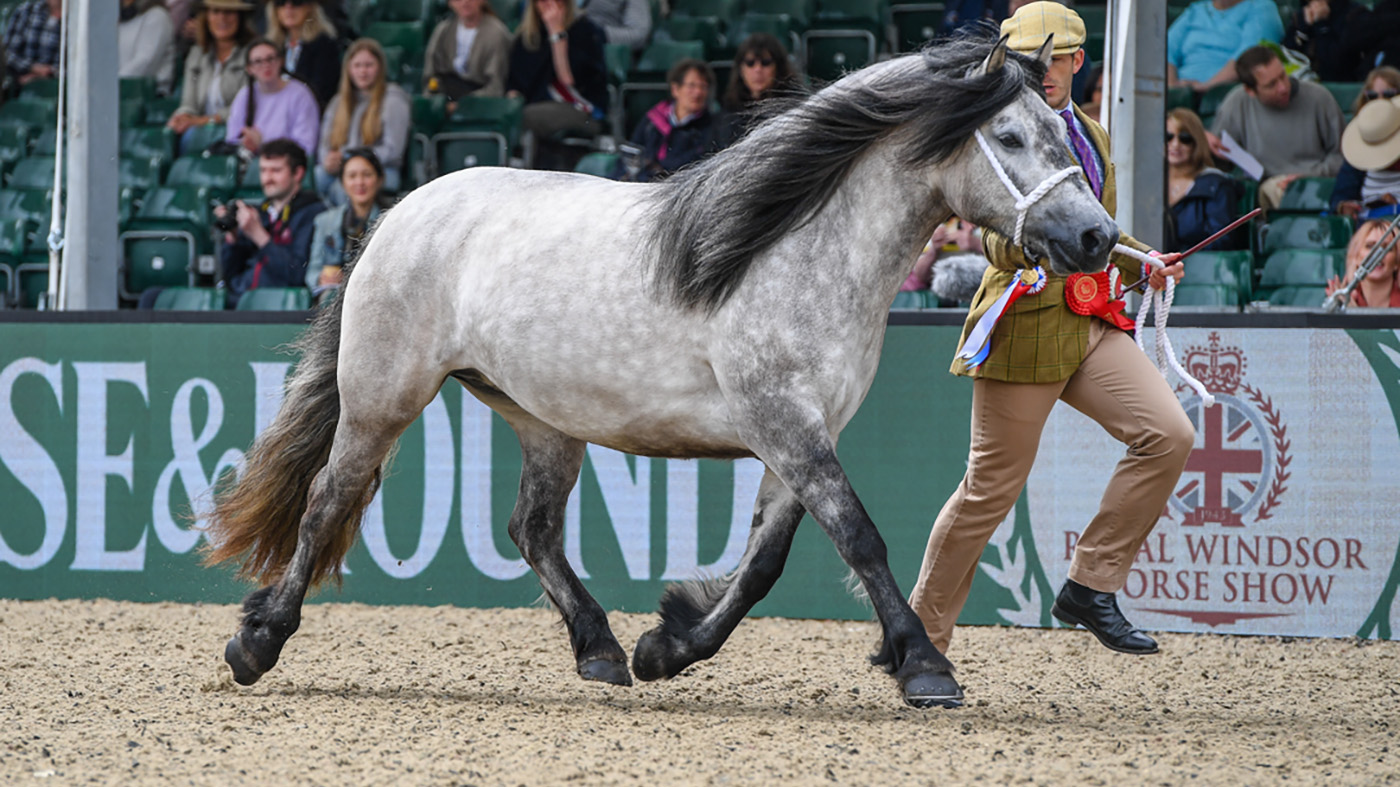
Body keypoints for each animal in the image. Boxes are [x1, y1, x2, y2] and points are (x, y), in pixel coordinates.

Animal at [203, 32, 1119, 709]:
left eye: (1061, 134)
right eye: (1010, 138)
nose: (1097, 238)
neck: (790, 252)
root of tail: (399, 211)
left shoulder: (797, 435)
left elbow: (763, 564)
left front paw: (667, 645)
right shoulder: (784, 423)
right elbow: (859, 536)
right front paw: (925, 665)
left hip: (542, 417)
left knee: (531, 528)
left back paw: (602, 650)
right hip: (382, 397)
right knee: (327, 502)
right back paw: (256, 642)